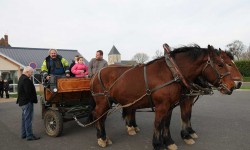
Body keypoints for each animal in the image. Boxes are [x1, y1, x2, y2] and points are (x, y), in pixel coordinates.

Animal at [90, 44, 236, 149]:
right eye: (221, 64)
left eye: (228, 63)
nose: (233, 85)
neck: (172, 72)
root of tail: (96, 73)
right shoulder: (162, 106)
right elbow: (159, 123)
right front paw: (158, 144)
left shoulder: (170, 106)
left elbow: (167, 123)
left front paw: (169, 141)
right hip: (103, 101)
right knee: (98, 115)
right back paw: (102, 138)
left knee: (102, 117)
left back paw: (105, 137)